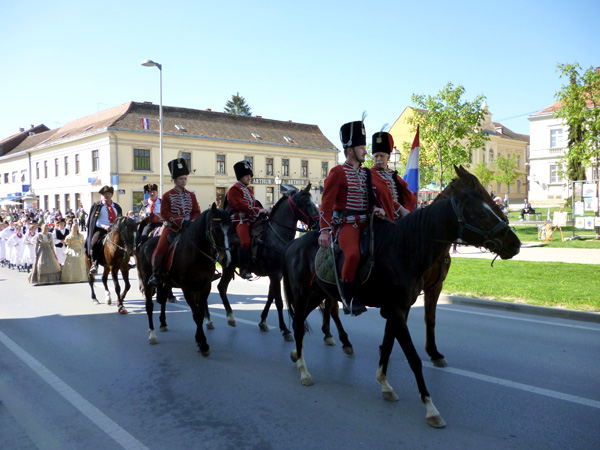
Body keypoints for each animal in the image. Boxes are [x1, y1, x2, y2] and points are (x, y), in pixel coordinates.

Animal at [137, 204, 232, 356]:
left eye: (231, 229)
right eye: (216, 229)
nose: (226, 259)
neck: (198, 254)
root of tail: (146, 242)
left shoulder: (205, 287)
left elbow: (200, 312)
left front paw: (199, 340)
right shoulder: (188, 289)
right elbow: (197, 315)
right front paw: (203, 344)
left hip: (167, 283)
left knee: (163, 300)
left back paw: (163, 323)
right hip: (147, 282)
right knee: (149, 306)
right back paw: (152, 334)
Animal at [213, 183, 322, 338]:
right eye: (307, 203)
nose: (319, 223)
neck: (275, 236)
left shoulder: (277, 275)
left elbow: (271, 297)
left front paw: (263, 321)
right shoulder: (275, 274)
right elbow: (279, 302)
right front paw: (284, 329)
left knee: (221, 288)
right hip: (228, 267)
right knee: (220, 287)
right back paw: (228, 317)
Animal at [318, 165, 510, 366]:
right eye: (478, 190)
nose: (505, 220)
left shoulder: (434, 287)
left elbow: (430, 318)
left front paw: (433, 352)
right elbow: (401, 320)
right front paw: (387, 348)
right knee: (333, 307)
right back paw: (339, 338)